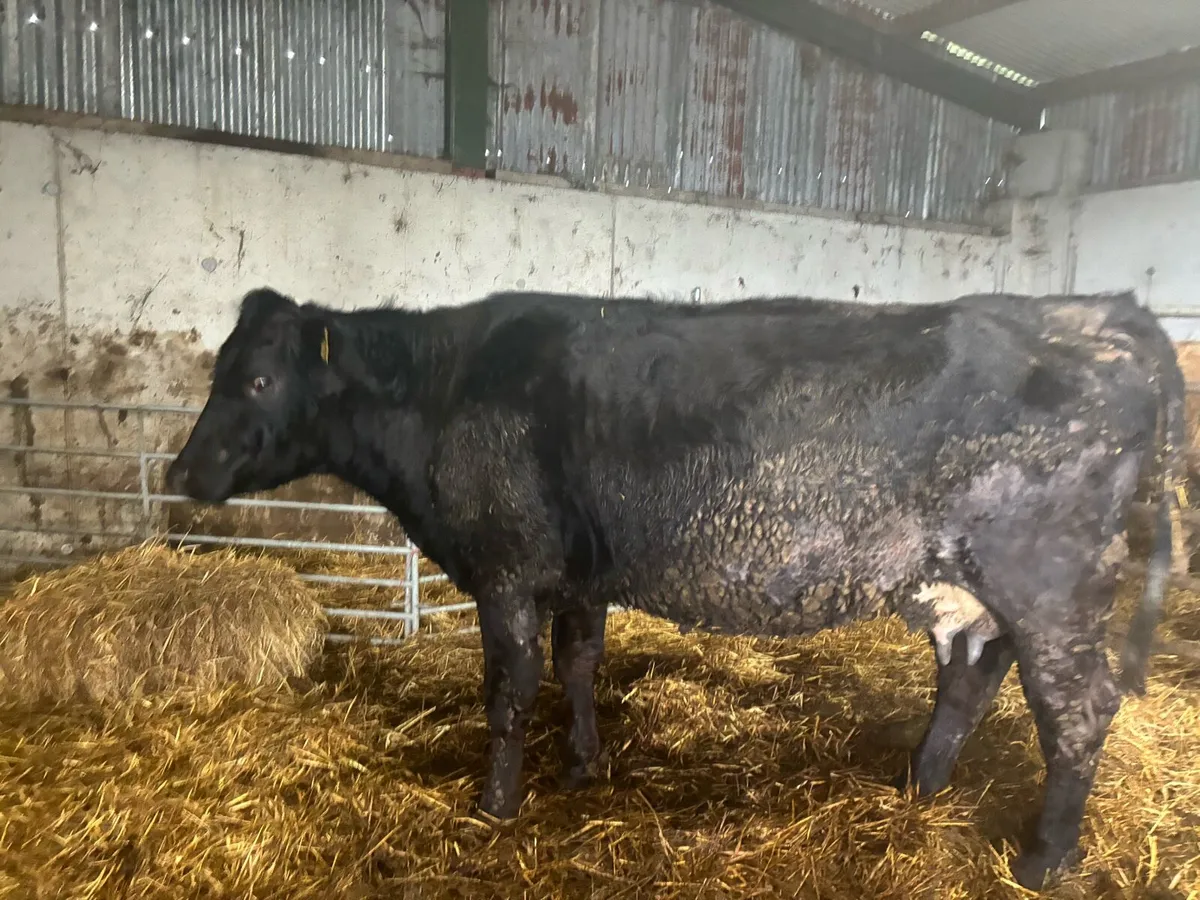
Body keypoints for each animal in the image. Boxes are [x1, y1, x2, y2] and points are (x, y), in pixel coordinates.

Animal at [165, 286, 1186, 891]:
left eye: (257, 380)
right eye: (221, 368)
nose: (182, 470)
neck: (445, 393)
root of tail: (1103, 312)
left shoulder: (505, 568)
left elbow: (508, 690)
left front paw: (496, 803)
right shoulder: (579, 571)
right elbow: (578, 666)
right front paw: (585, 765)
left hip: (1049, 579)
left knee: (1077, 709)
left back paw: (1043, 857)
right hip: (962, 581)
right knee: (971, 673)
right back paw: (920, 787)